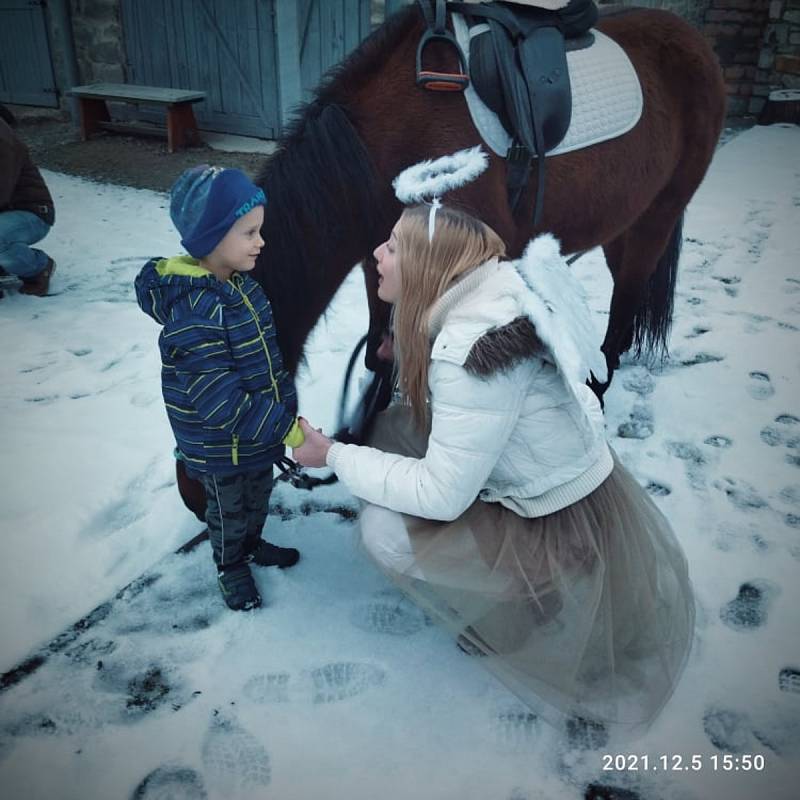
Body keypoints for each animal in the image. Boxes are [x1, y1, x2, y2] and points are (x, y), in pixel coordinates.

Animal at [178, 3, 728, 516]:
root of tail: (693, 40)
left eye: (214, 408)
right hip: (624, 223)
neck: (380, 147)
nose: (195, 500)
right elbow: (382, 351)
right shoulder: (382, 262)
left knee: (625, 305)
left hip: (658, 216)